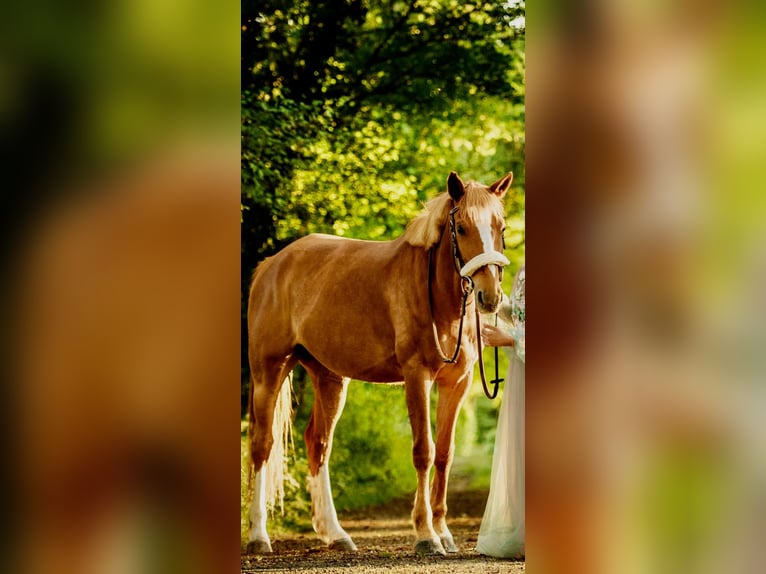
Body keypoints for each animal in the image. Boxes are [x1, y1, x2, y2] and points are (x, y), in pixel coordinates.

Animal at [249, 172, 512, 560]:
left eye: (500, 226)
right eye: (462, 228)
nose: (489, 296)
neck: (436, 294)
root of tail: (270, 265)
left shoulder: (457, 382)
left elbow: (445, 454)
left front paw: (444, 532)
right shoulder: (417, 376)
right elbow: (423, 451)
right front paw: (426, 535)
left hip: (328, 377)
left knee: (318, 443)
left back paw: (335, 534)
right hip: (269, 371)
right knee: (261, 445)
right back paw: (258, 535)